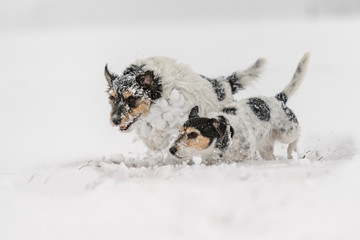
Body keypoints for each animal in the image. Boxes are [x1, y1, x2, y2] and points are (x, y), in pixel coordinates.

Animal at [169, 53, 310, 163]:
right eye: (180, 131)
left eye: (193, 134)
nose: (171, 149)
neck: (230, 133)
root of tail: (278, 99)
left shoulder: (249, 155)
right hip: (265, 148)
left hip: (287, 133)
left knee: (296, 137)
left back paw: (291, 152)